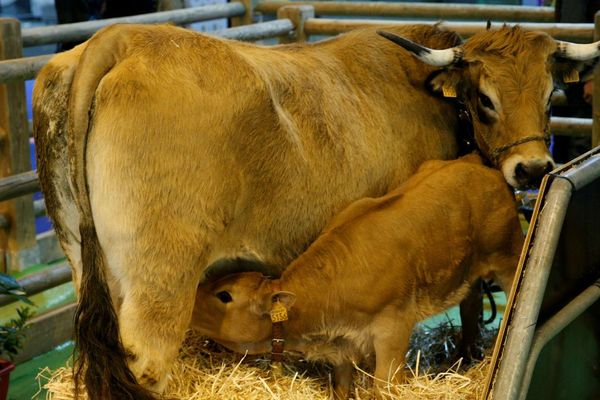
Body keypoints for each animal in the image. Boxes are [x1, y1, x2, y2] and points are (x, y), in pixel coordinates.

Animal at [32, 23, 600, 398]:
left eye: (552, 93)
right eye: (484, 99)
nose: (533, 168)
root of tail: (124, 37)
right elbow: (461, 297)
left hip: (89, 264)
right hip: (160, 280)